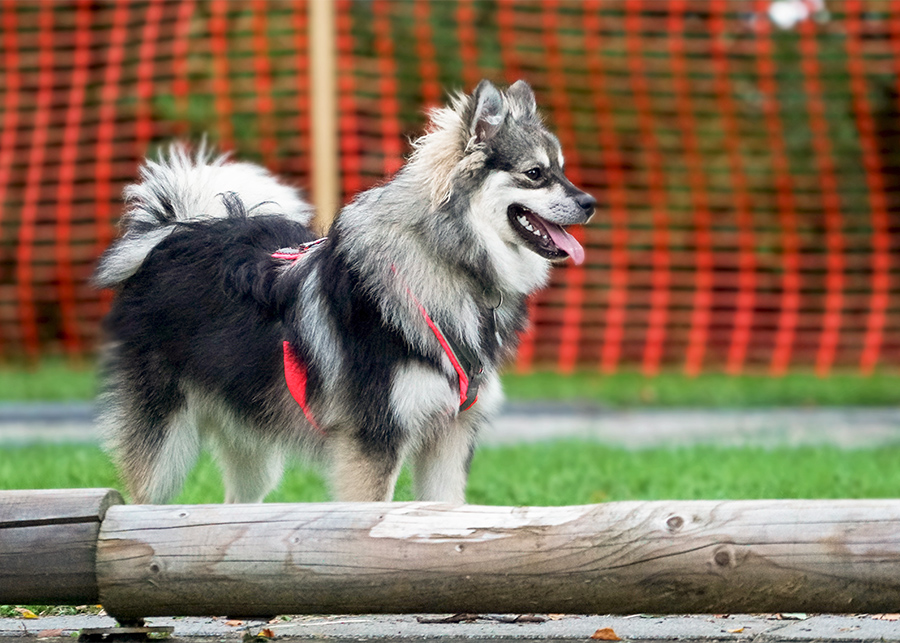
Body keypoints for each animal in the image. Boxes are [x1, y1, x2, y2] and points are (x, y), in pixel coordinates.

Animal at [95, 79, 596, 504]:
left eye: (562, 170)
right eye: (535, 173)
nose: (590, 203)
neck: (447, 261)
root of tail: (174, 230)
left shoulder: (449, 439)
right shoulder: (373, 442)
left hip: (253, 449)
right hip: (165, 451)